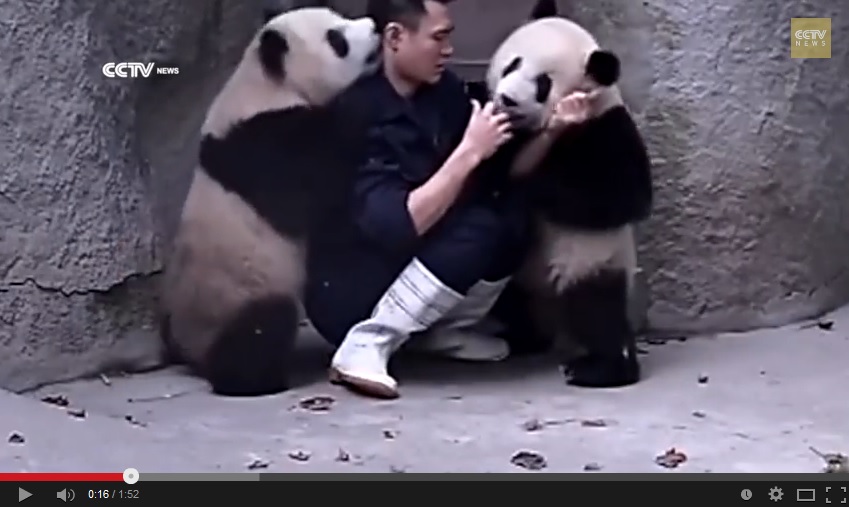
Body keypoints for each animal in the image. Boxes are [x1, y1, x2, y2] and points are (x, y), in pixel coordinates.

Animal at [158, 2, 380, 396]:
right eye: (336, 39)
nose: (375, 27)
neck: (267, 85)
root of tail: (190, 349)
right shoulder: (262, 143)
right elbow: (308, 192)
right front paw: (361, 104)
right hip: (237, 293)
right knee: (262, 328)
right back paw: (258, 380)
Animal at [484, 0, 656, 388]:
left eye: (543, 83)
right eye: (513, 63)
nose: (506, 99)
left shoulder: (605, 128)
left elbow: (622, 196)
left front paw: (528, 185)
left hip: (590, 260)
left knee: (598, 311)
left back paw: (600, 368)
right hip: (522, 279)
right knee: (513, 305)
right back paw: (517, 337)